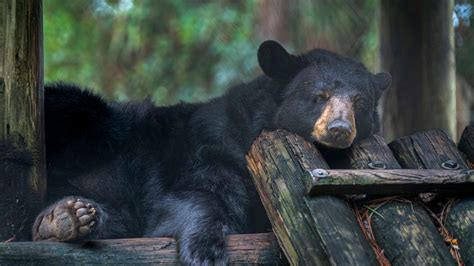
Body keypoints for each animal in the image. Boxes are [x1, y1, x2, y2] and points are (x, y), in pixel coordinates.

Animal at [3, 40, 390, 264]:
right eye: (319, 97)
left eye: (360, 103)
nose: (339, 129)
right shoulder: (207, 141)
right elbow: (197, 193)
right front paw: (204, 251)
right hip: (93, 118)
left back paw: (64, 218)